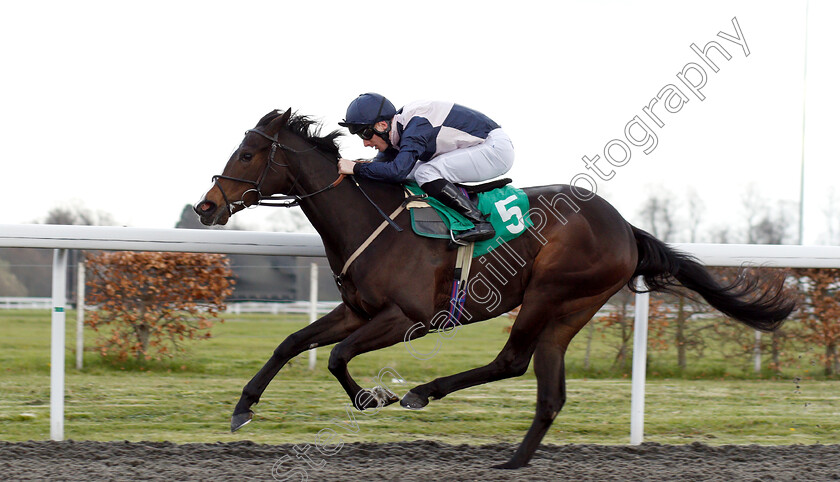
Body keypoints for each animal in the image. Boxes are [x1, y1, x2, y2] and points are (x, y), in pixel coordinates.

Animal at [194, 108, 796, 466]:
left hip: (550, 293)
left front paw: (375, 396)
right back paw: (514, 459)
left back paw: (424, 393)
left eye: (247, 154)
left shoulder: (407, 318)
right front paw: (243, 408)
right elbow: (291, 343)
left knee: (512, 361)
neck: (373, 219)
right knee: (549, 391)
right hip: (570, 309)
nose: (206, 206)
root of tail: (626, 227)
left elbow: (339, 356)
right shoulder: (358, 310)